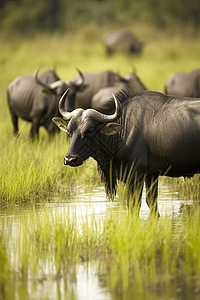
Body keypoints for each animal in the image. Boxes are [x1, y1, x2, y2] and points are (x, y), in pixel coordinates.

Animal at [52, 88, 200, 216]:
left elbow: (134, 205)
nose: (70, 159)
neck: (124, 132)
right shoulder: (151, 175)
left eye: (89, 131)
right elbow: (151, 203)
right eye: (69, 131)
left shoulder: (136, 175)